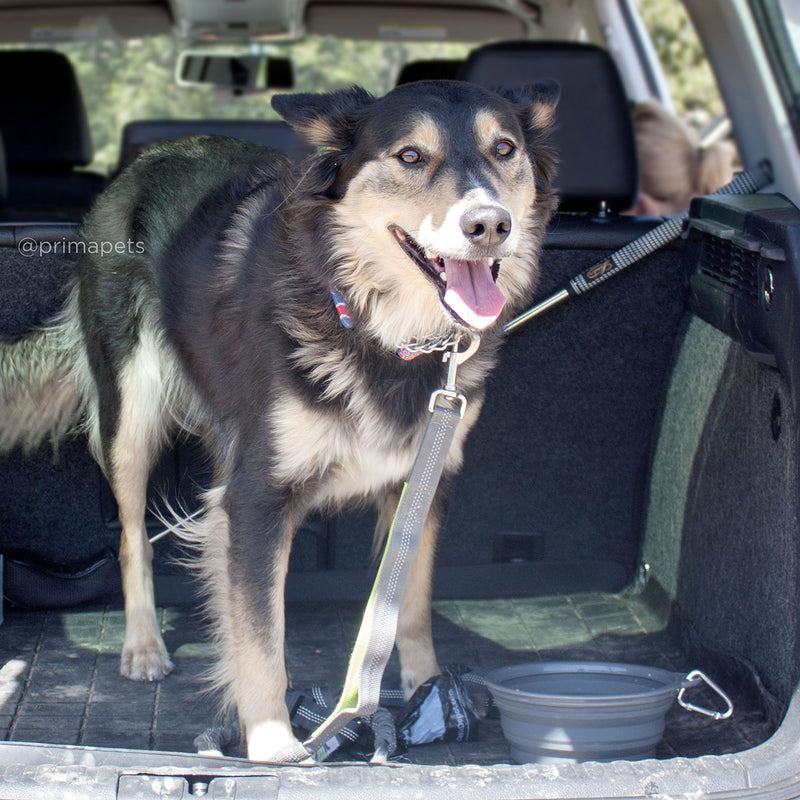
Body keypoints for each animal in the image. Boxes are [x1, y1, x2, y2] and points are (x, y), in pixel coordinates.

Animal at [0, 81, 560, 764]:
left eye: (503, 149)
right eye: (409, 156)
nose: (489, 225)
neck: (382, 330)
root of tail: (148, 157)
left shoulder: (426, 480)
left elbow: (410, 603)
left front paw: (428, 687)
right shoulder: (256, 496)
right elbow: (262, 633)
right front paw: (273, 744)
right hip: (131, 411)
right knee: (133, 536)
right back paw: (143, 644)